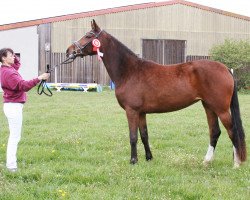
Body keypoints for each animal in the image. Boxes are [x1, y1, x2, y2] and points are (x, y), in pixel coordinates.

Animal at [65, 19, 246, 167]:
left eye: (88, 36)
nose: (69, 51)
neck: (129, 71)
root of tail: (225, 68)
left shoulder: (132, 111)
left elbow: (133, 136)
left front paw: (133, 161)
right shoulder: (141, 112)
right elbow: (144, 135)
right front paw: (148, 158)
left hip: (220, 109)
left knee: (232, 131)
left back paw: (236, 163)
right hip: (208, 106)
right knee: (215, 132)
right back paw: (207, 161)